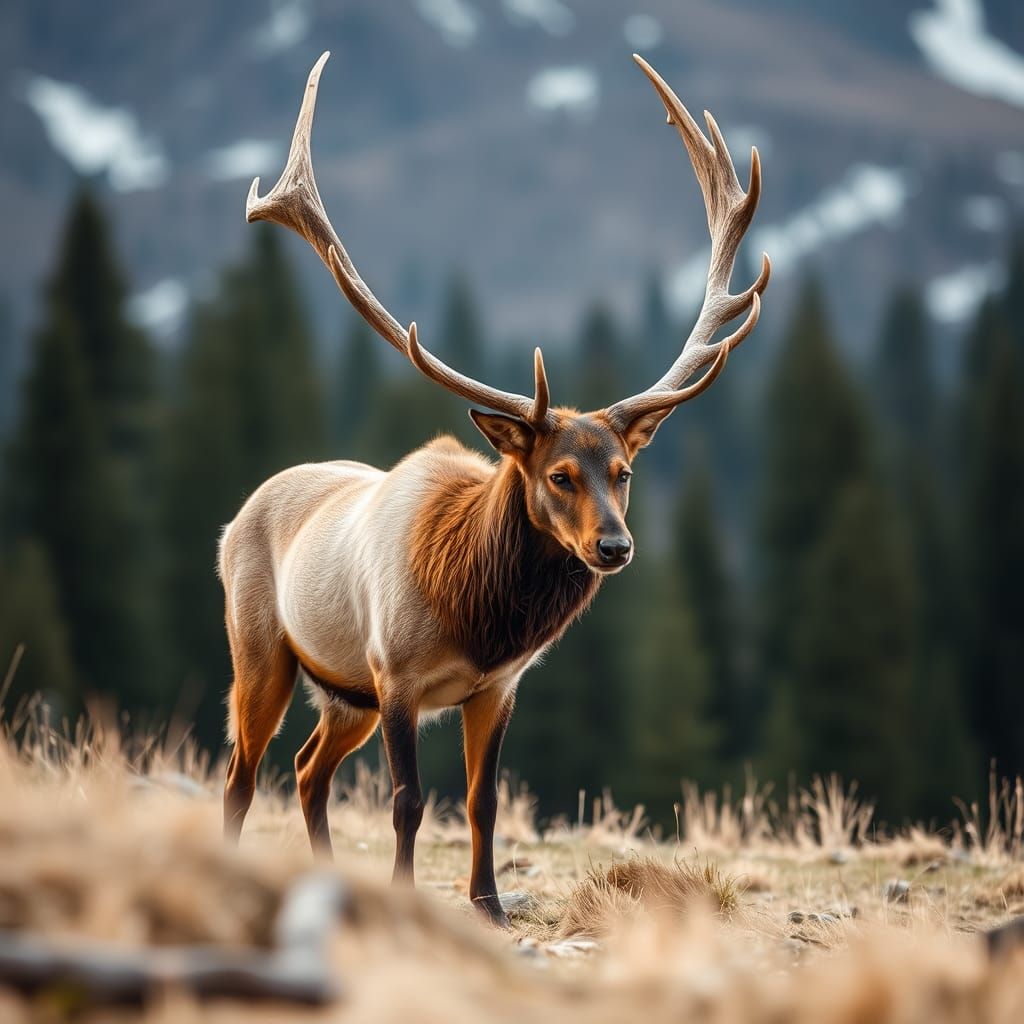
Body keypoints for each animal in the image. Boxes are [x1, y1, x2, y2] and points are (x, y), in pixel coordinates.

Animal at [220, 51, 769, 927]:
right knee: (242, 773)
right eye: (557, 475)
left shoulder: (497, 688)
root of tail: (238, 515)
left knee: (307, 771)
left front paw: (490, 904)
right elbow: (410, 802)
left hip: (342, 694)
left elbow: (484, 801)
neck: (476, 615)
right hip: (264, 648)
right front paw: (409, 895)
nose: (615, 545)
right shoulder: (395, 673)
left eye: (624, 472)